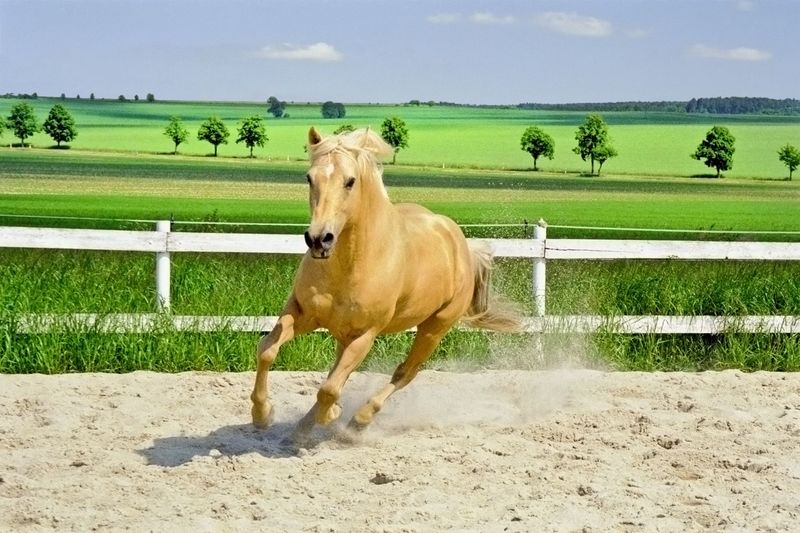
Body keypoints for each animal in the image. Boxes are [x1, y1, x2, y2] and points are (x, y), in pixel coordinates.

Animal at [253, 127, 520, 434]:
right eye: (309, 177)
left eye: (350, 181)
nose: (319, 239)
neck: (353, 264)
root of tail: (461, 244)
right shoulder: (302, 313)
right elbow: (267, 351)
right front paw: (262, 414)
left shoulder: (365, 335)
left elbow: (329, 389)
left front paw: (330, 415)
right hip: (345, 332)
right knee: (339, 370)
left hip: (434, 329)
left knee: (405, 371)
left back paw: (359, 419)